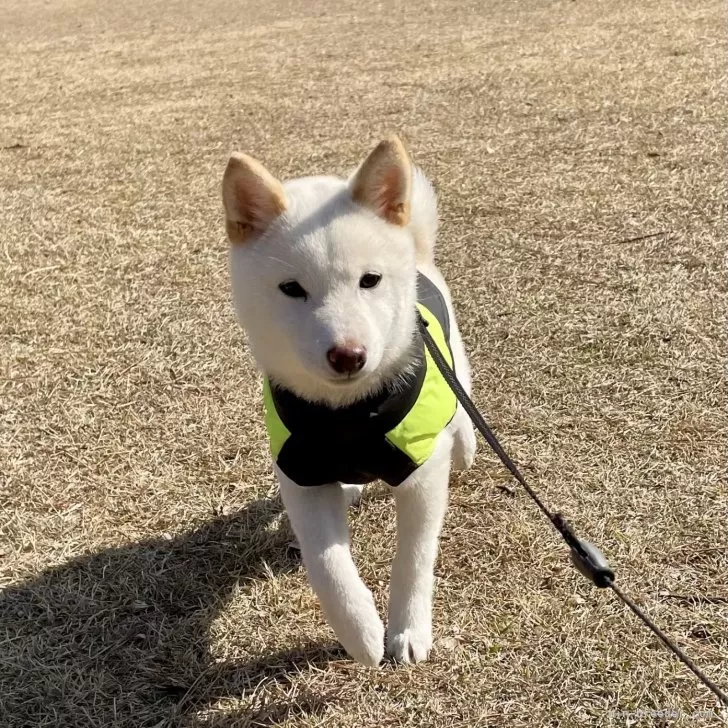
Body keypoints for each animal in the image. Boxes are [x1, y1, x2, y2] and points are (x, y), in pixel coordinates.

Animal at [222, 136, 474, 664]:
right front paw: (360, 635)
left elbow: (414, 558)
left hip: (454, 361)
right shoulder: (302, 475)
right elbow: (328, 569)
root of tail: (419, 251)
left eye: (370, 280)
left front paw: (408, 629)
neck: (349, 415)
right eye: (291, 289)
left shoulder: (421, 476)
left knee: (462, 404)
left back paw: (465, 444)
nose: (348, 355)